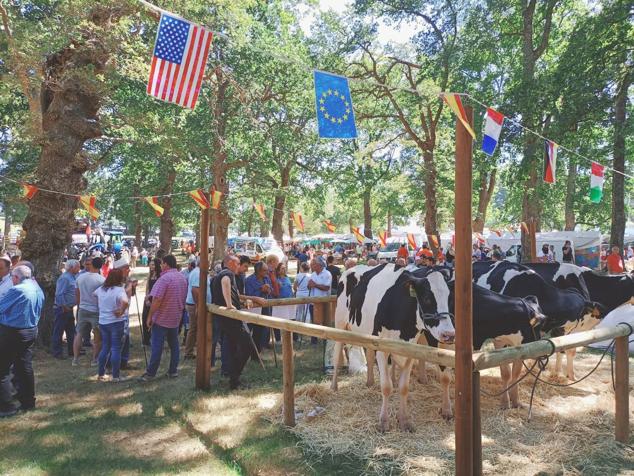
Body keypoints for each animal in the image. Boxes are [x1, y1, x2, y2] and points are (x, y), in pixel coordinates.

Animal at [330, 264, 454, 432]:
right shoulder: (382, 349)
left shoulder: (410, 350)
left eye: (449, 298)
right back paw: (334, 386)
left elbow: (404, 387)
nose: (449, 334)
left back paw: (369, 382)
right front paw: (383, 422)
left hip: (367, 334)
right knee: (337, 354)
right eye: (427, 298)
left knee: (369, 356)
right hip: (340, 323)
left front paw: (404, 420)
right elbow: (386, 386)